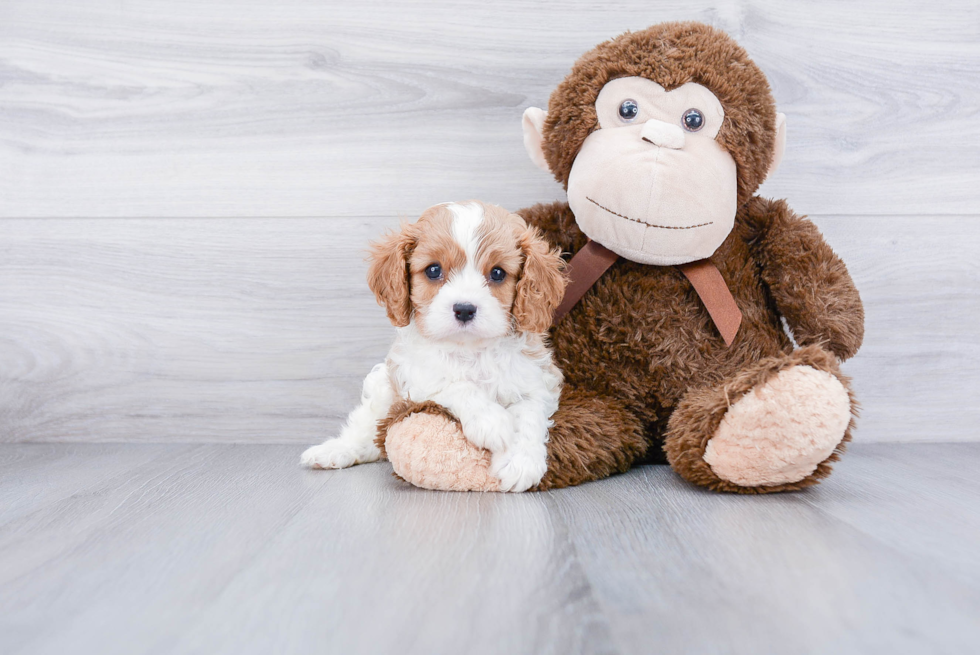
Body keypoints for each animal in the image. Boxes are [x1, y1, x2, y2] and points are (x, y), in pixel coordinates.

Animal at [304, 200, 568, 492]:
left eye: (498, 273)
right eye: (433, 270)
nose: (464, 309)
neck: (469, 350)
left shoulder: (536, 379)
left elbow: (530, 413)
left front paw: (520, 462)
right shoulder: (415, 377)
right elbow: (455, 385)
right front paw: (491, 421)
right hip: (382, 387)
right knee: (366, 429)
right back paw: (335, 450)